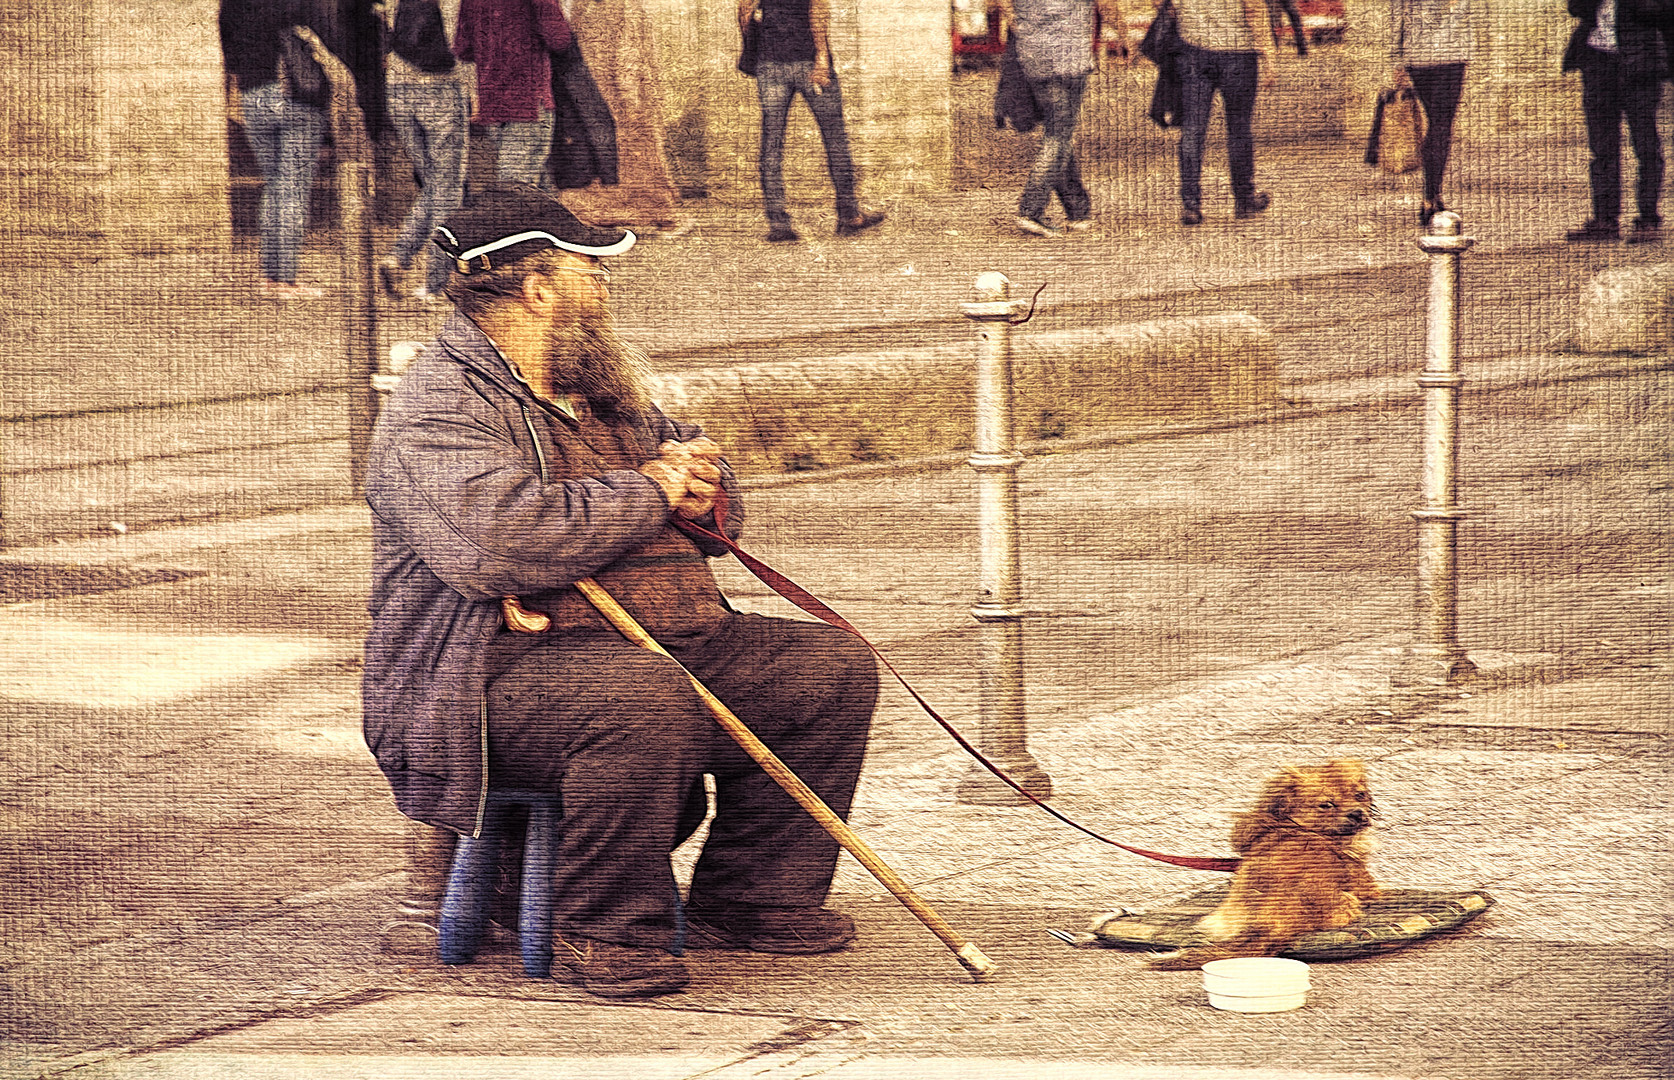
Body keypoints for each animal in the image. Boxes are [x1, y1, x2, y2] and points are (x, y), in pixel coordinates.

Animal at [1145, 756, 1379, 971]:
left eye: (1359, 795)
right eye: (1326, 805)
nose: (1357, 813)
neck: (1296, 826)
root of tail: (1270, 926)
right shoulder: (1366, 887)